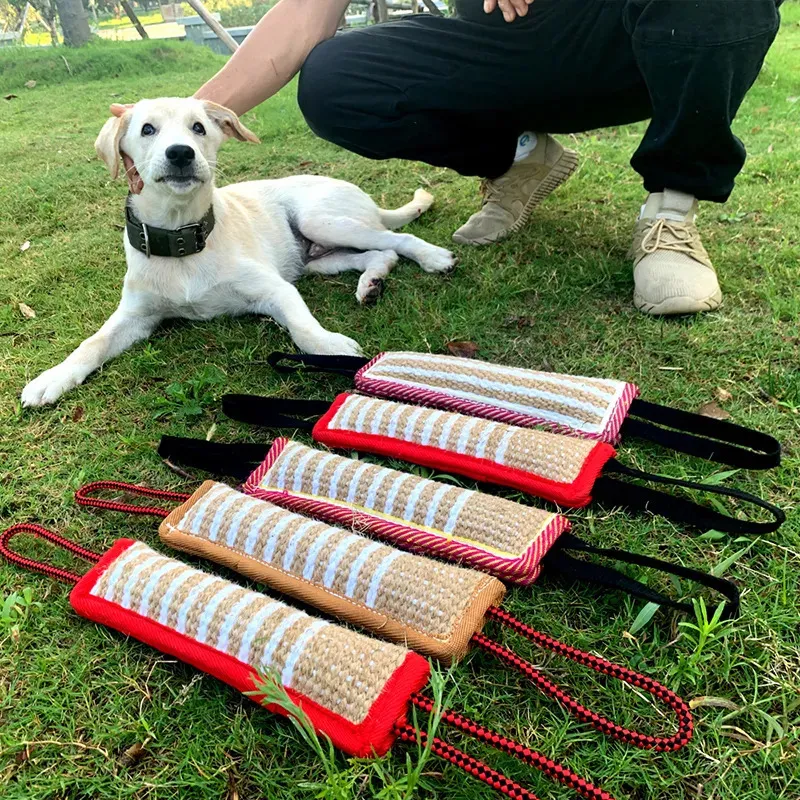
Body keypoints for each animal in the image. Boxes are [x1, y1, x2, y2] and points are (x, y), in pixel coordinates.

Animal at [20, 98, 456, 406]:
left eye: (198, 128)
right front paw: (52, 378)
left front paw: (329, 346)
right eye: (147, 129)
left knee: (396, 241)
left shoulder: (275, 290)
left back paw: (434, 257)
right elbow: (91, 343)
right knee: (378, 254)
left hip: (320, 220)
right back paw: (372, 283)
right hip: (320, 258)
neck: (183, 241)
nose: (181, 153)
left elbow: (302, 328)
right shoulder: (135, 316)